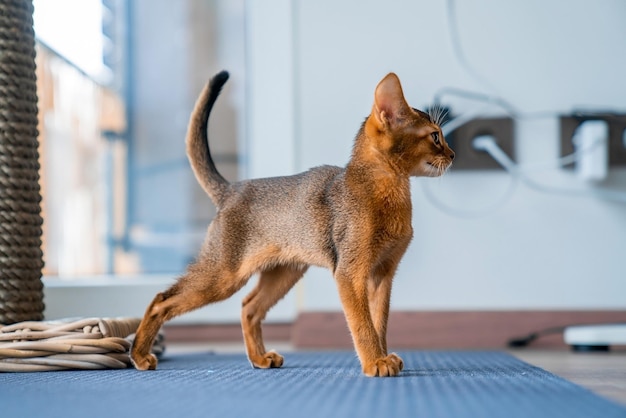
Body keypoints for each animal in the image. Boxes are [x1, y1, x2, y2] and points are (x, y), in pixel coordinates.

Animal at [130, 70, 454, 378]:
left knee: (249, 306)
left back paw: (260, 358)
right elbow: (363, 325)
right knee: (160, 300)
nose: (452, 155)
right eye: (435, 136)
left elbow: (380, 322)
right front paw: (375, 361)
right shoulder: (350, 273)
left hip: (284, 272)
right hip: (223, 274)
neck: (388, 191)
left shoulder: (383, 274)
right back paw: (139, 355)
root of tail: (232, 188)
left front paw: (384, 356)